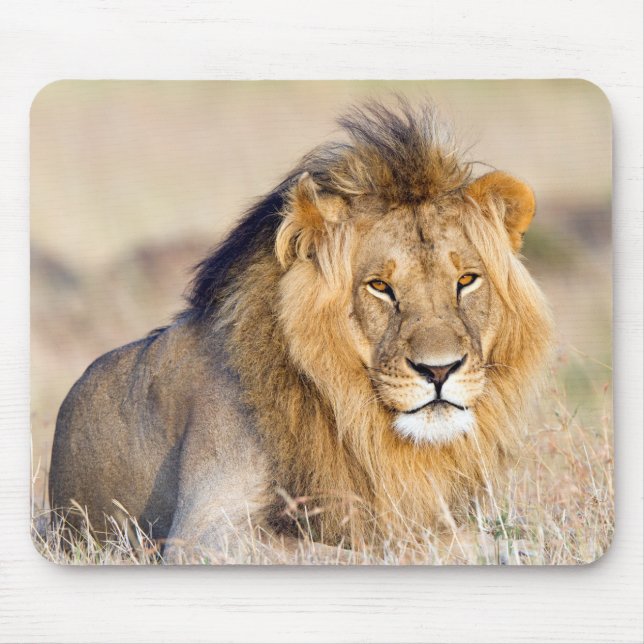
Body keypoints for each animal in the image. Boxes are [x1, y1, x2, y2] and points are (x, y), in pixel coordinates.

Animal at [48, 101, 553, 563]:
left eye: (466, 280)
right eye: (379, 286)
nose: (440, 370)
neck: (354, 417)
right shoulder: (205, 535)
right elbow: (370, 552)